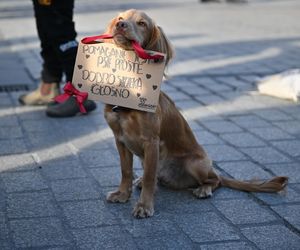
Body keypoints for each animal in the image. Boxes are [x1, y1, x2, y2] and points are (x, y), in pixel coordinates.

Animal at [103, 8, 288, 218]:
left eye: (142, 23)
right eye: (120, 18)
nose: (121, 25)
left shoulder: (151, 142)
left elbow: (150, 177)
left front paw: (144, 206)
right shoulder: (120, 140)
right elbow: (126, 171)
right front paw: (122, 194)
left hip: (195, 163)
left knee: (215, 180)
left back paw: (204, 189)